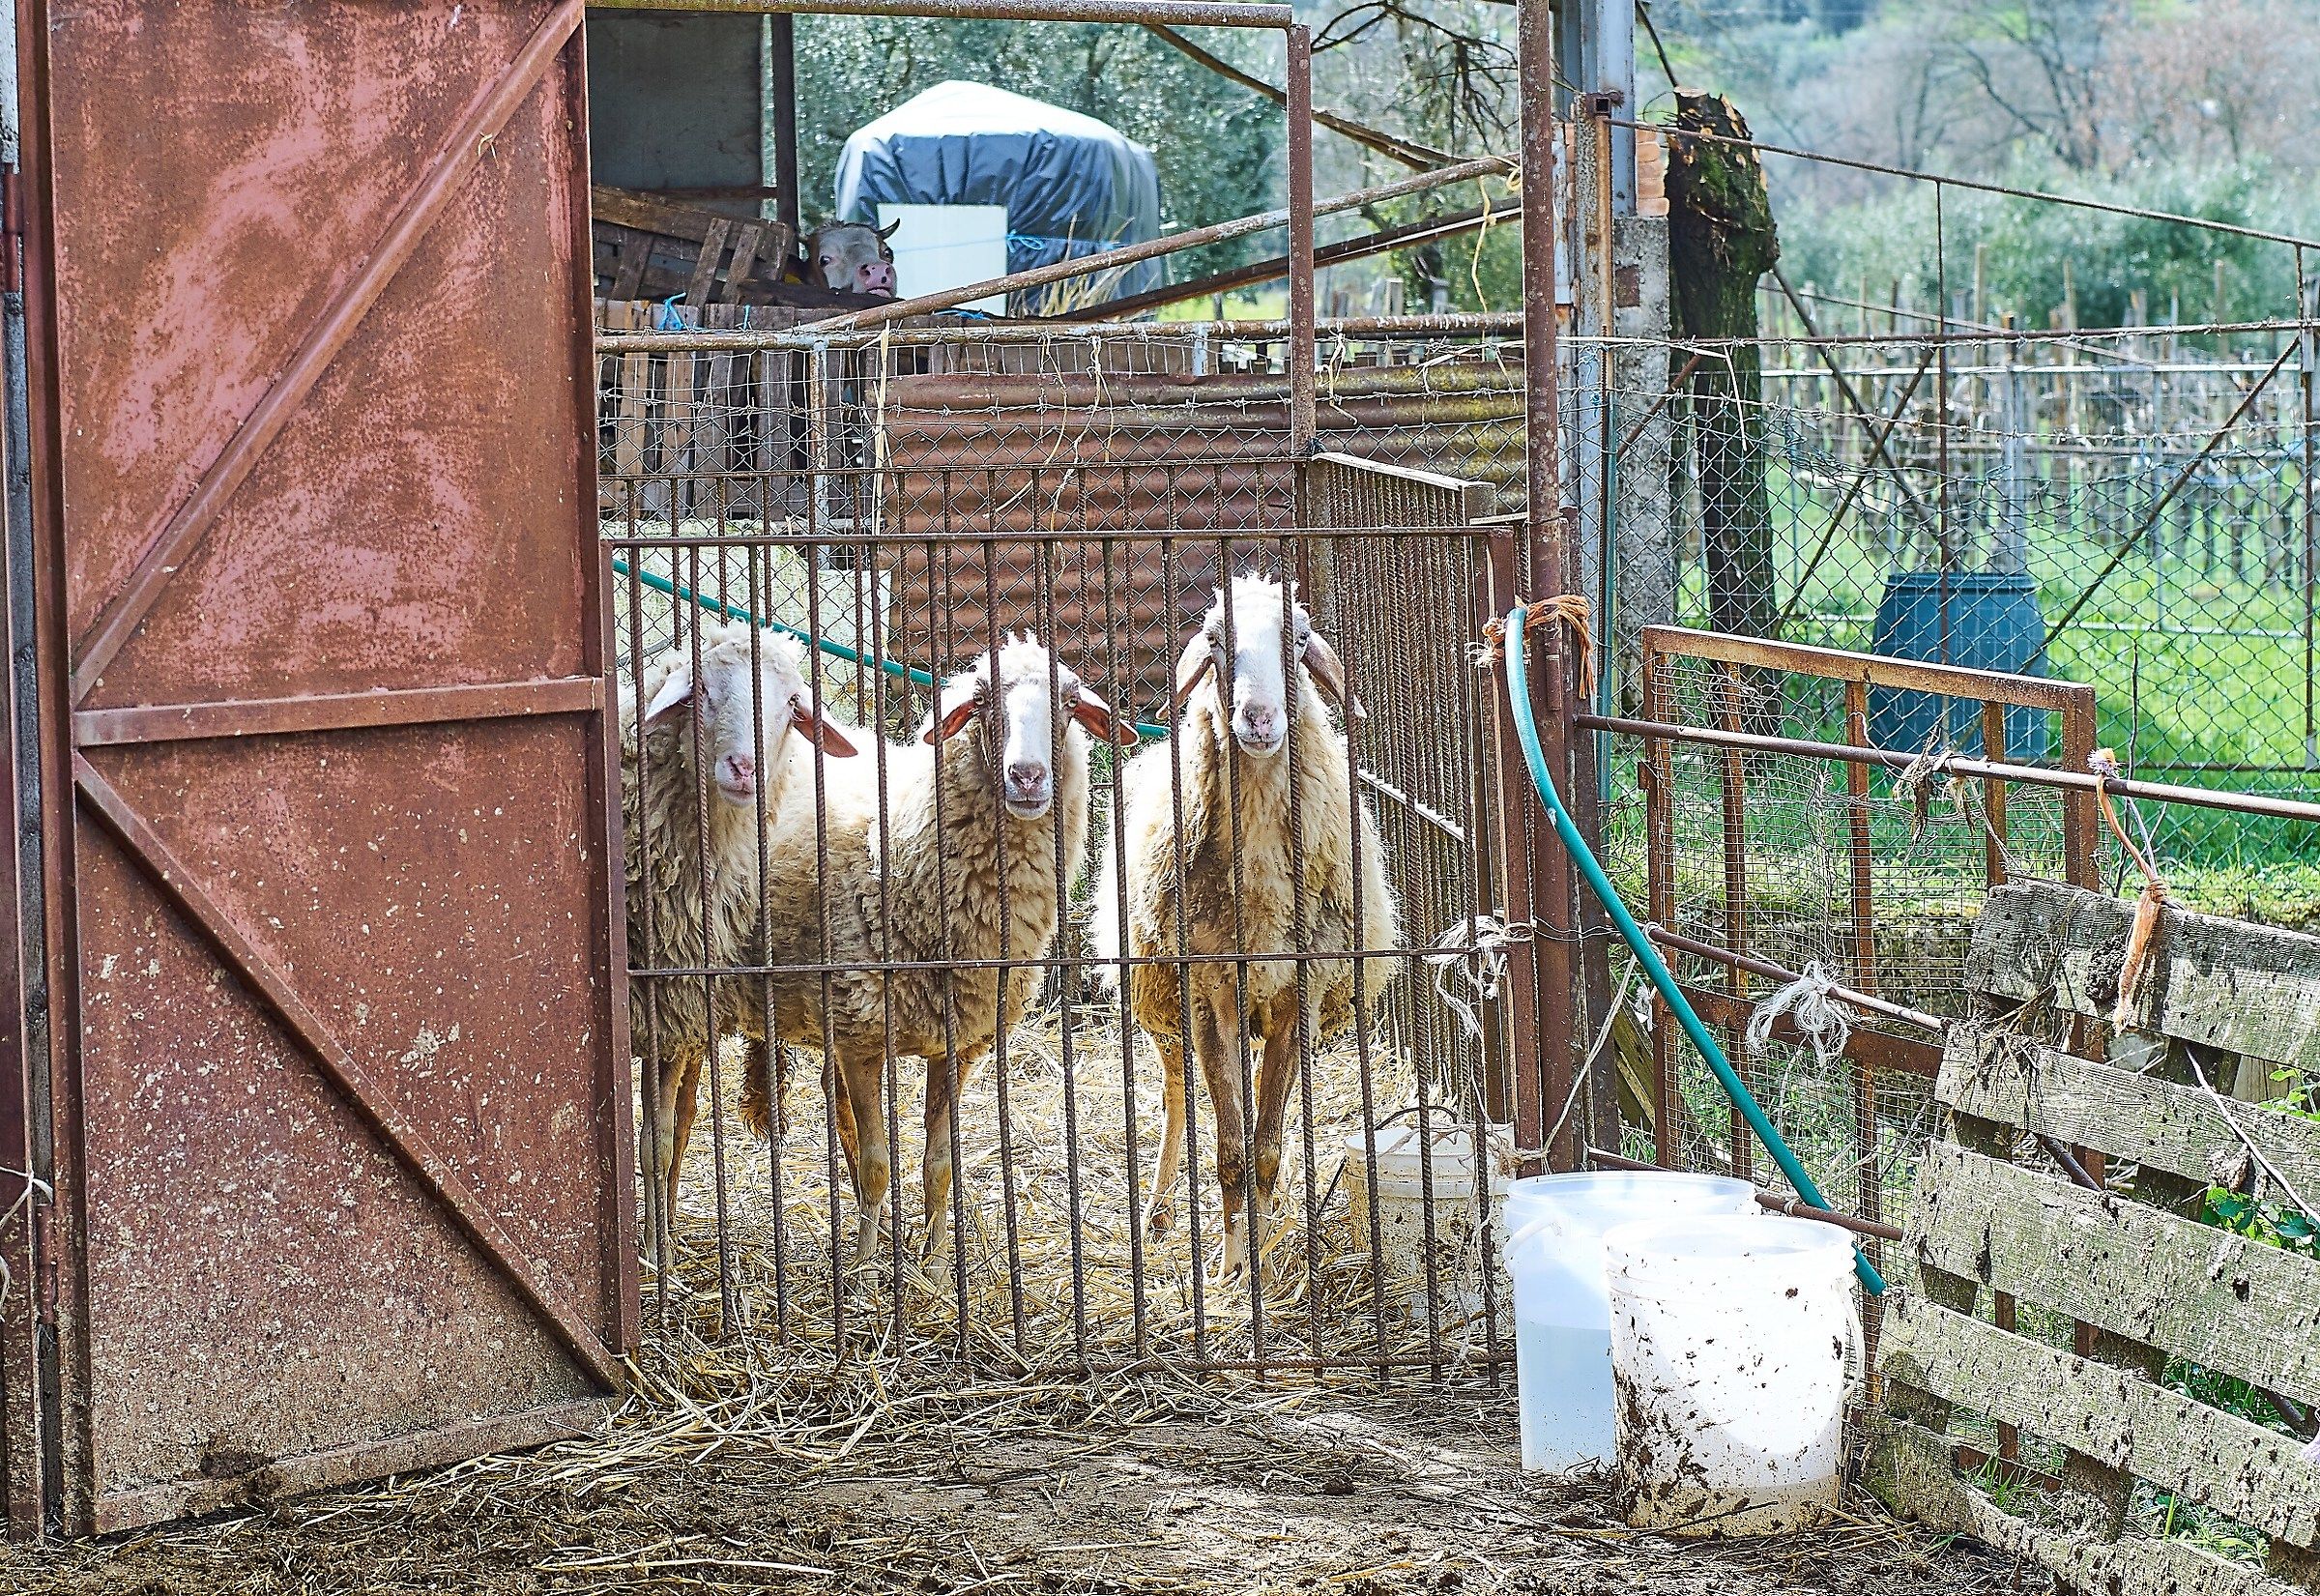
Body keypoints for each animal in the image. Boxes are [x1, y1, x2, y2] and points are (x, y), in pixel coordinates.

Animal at [622, 619, 857, 1217]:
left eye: (792, 705)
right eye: (701, 689)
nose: (745, 768)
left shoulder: (670, 1007)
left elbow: (656, 1142)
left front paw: (658, 1236)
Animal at [733, 633, 1137, 1262]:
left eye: (1070, 703)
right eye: (982, 701)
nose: (1027, 776)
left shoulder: (961, 1043)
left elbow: (940, 1165)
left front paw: (936, 1259)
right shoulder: (861, 1036)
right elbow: (880, 1162)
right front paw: (870, 1264)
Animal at [1092, 574, 1398, 1285]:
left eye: (1302, 638)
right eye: (1212, 641)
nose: (1257, 718)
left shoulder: (1300, 993)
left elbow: (1265, 1146)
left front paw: (1259, 1253)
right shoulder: (1208, 992)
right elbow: (1230, 1147)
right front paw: (1233, 1271)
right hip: (1161, 1003)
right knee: (1177, 1095)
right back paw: (1157, 1211)